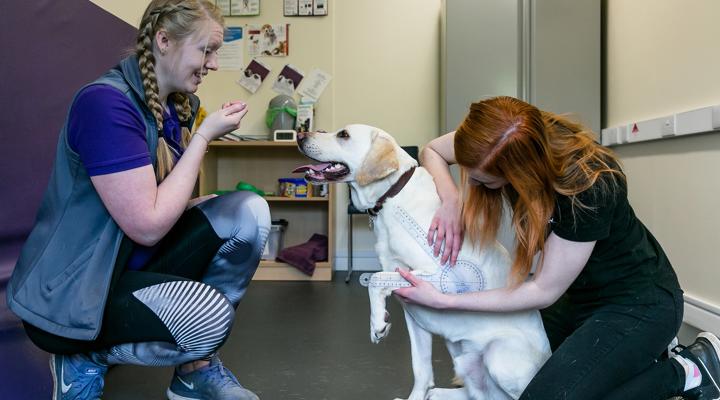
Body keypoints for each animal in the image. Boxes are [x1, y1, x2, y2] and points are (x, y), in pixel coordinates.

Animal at [296, 125, 548, 400]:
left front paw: (377, 322)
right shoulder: (414, 313)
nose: (299, 135)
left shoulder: (445, 280)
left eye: (343, 134)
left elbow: (375, 279)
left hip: (499, 357)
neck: (392, 197)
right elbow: (421, 369)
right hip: (463, 360)